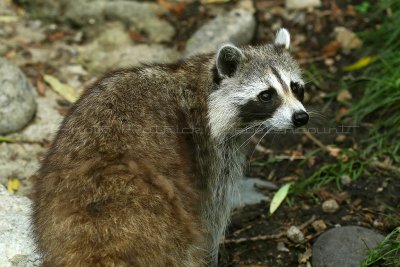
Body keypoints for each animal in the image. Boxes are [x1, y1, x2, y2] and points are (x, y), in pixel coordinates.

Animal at [33, 29, 310, 267]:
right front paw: (213, 255)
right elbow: (212, 217)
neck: (204, 87)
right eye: (266, 95)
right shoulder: (210, 154)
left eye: (296, 87)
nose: (301, 117)